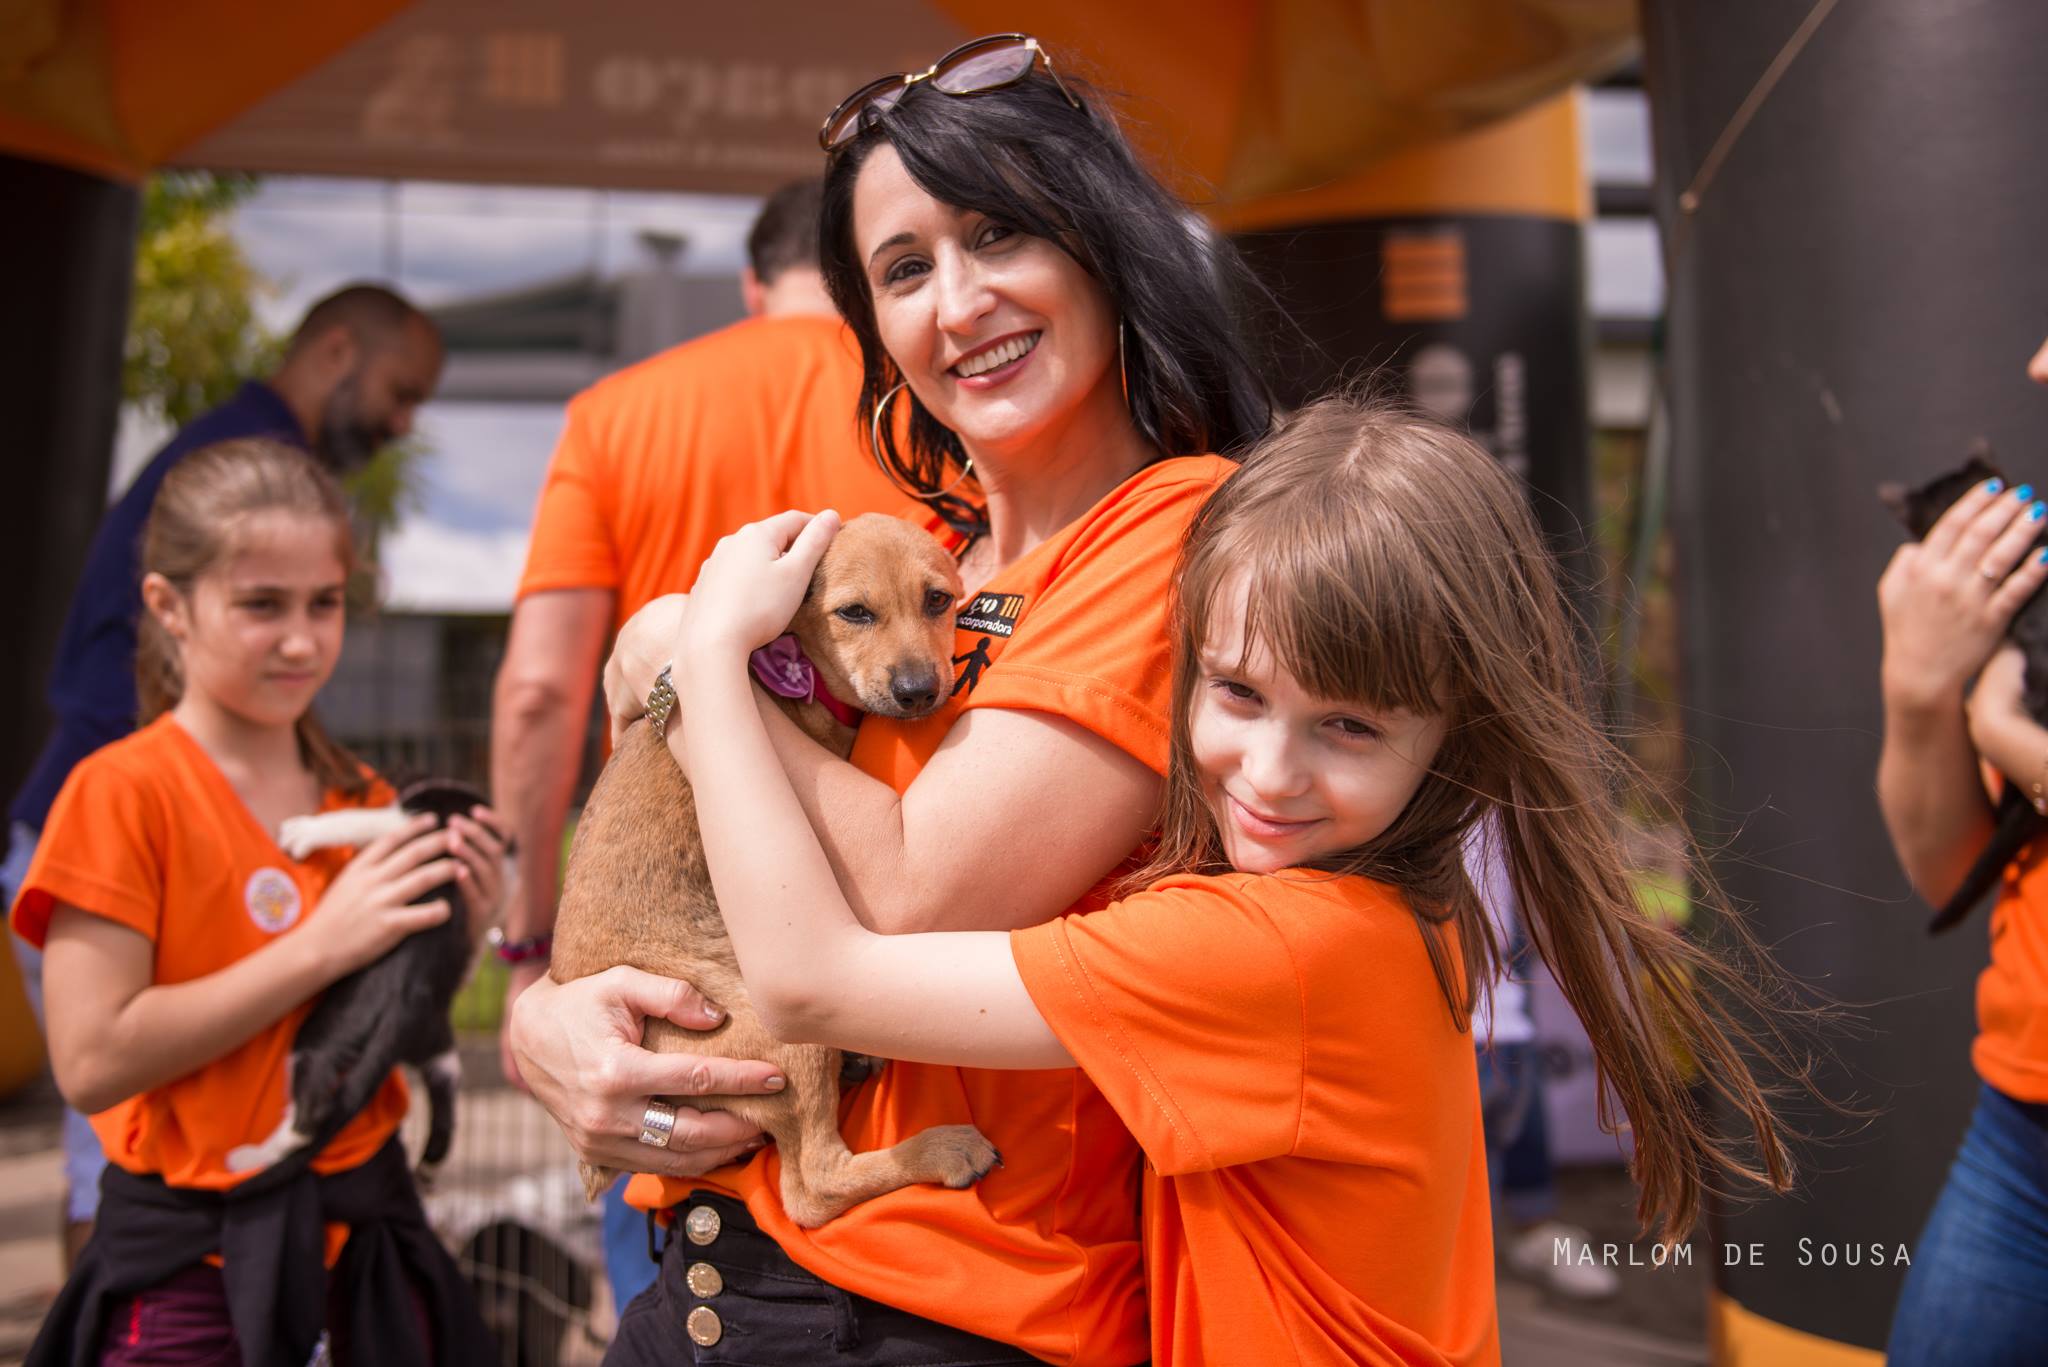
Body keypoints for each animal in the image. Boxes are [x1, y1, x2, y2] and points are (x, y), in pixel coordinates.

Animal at [228, 778, 491, 1188]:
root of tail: (403, 1007)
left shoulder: (406, 826)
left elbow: (357, 819)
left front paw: (302, 832)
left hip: (316, 1039)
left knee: (309, 1117)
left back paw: (253, 1155)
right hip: (436, 1040)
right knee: (446, 1087)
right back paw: (428, 1168)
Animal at [540, 516, 995, 1229]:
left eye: (939, 601)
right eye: (854, 613)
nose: (920, 692)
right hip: (784, 1037)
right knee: (813, 1186)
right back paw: (943, 1149)